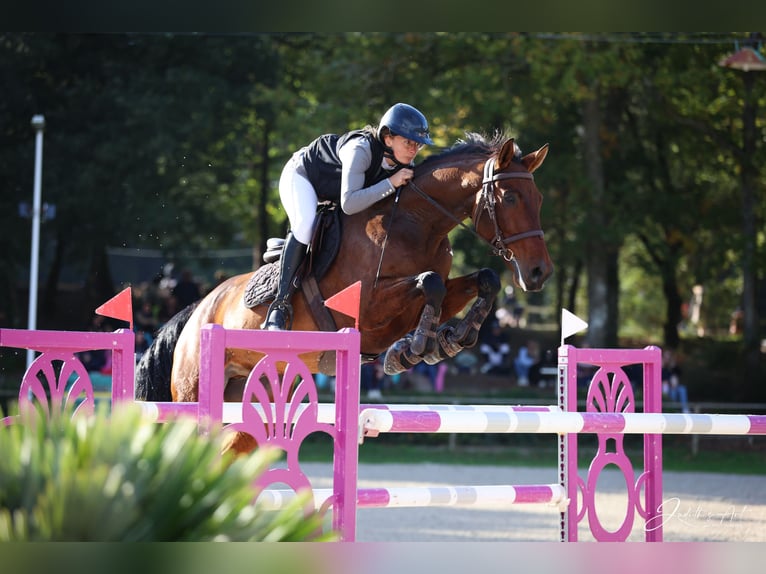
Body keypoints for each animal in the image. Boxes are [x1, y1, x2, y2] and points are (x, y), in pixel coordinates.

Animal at [136, 132, 553, 454]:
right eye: (510, 197)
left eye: (539, 200)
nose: (539, 273)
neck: (415, 223)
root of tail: (199, 310)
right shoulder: (365, 309)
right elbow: (429, 282)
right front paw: (414, 349)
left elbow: (483, 279)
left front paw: (449, 339)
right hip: (193, 392)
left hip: (252, 398)